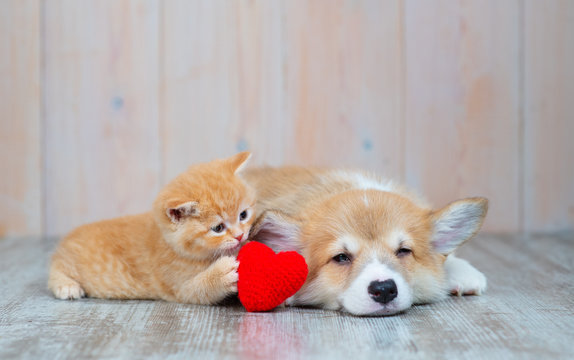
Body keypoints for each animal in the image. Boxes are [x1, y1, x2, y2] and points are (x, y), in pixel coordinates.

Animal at [48, 152, 255, 304]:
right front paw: (220, 275)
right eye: (218, 228)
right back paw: (66, 285)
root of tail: (68, 238)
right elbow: (199, 290)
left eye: (243, 215)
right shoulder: (179, 288)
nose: (239, 236)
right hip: (65, 263)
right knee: (54, 269)